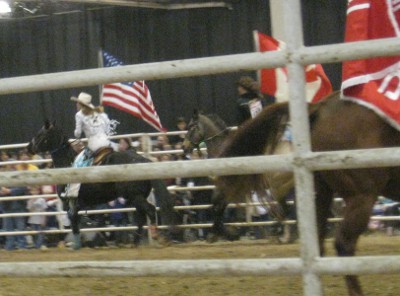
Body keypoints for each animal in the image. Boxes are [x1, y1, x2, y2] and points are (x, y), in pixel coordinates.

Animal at [27, 121, 179, 250]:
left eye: (41, 134)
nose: (29, 147)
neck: (68, 164)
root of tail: (144, 160)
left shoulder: (71, 203)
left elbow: (74, 224)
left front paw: (76, 246)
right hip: (136, 198)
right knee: (141, 217)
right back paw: (135, 242)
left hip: (136, 197)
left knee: (150, 211)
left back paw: (155, 236)